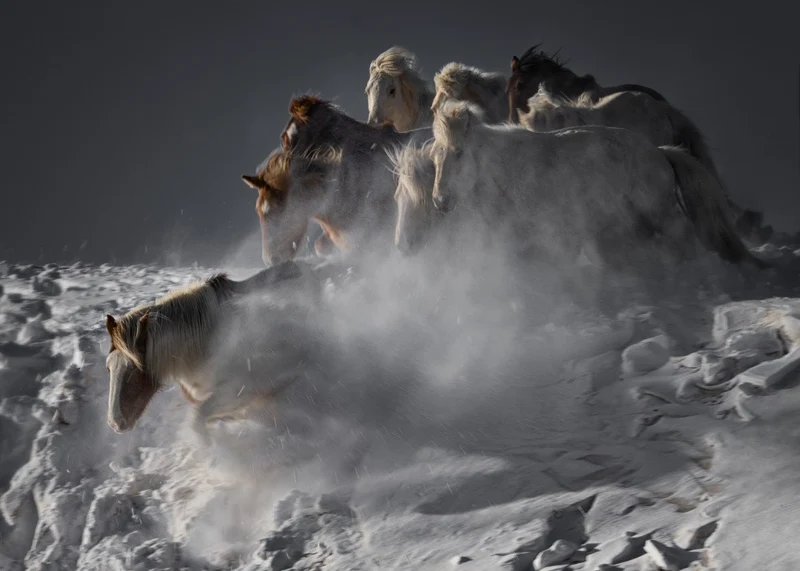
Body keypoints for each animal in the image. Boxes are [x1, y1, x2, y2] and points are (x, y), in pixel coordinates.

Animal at [430, 100, 769, 273]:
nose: (440, 201)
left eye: (458, 153)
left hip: (661, 215)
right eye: (435, 156)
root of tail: (659, 152)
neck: (510, 171)